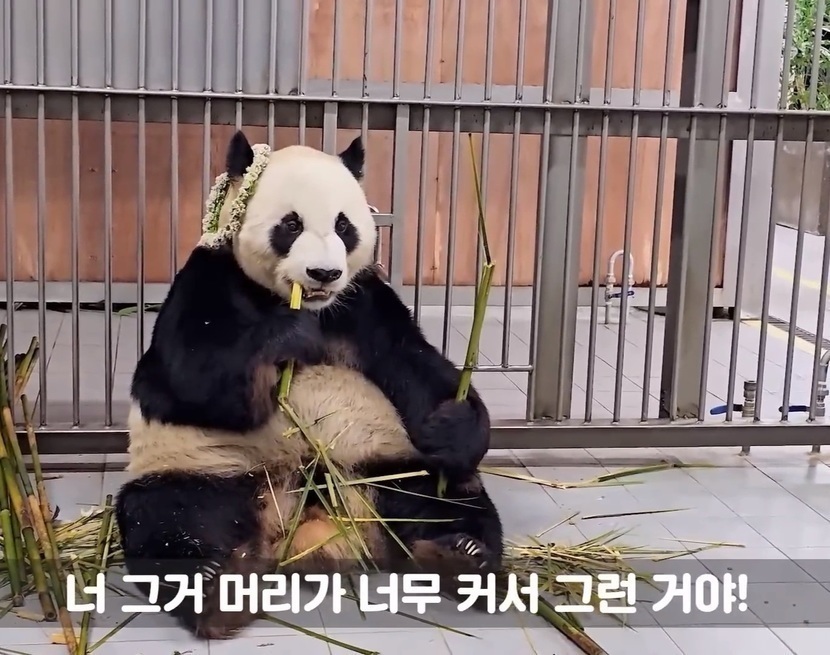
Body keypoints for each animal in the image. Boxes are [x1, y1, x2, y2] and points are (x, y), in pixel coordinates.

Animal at [114, 131, 504, 639]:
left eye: (344, 226)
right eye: (291, 224)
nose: (323, 274)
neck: (306, 304)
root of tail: (308, 526)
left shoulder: (364, 302)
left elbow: (416, 363)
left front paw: (453, 425)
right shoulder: (208, 279)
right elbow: (188, 374)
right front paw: (288, 336)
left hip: (388, 465)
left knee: (445, 498)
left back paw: (461, 558)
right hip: (206, 468)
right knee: (169, 519)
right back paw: (215, 591)